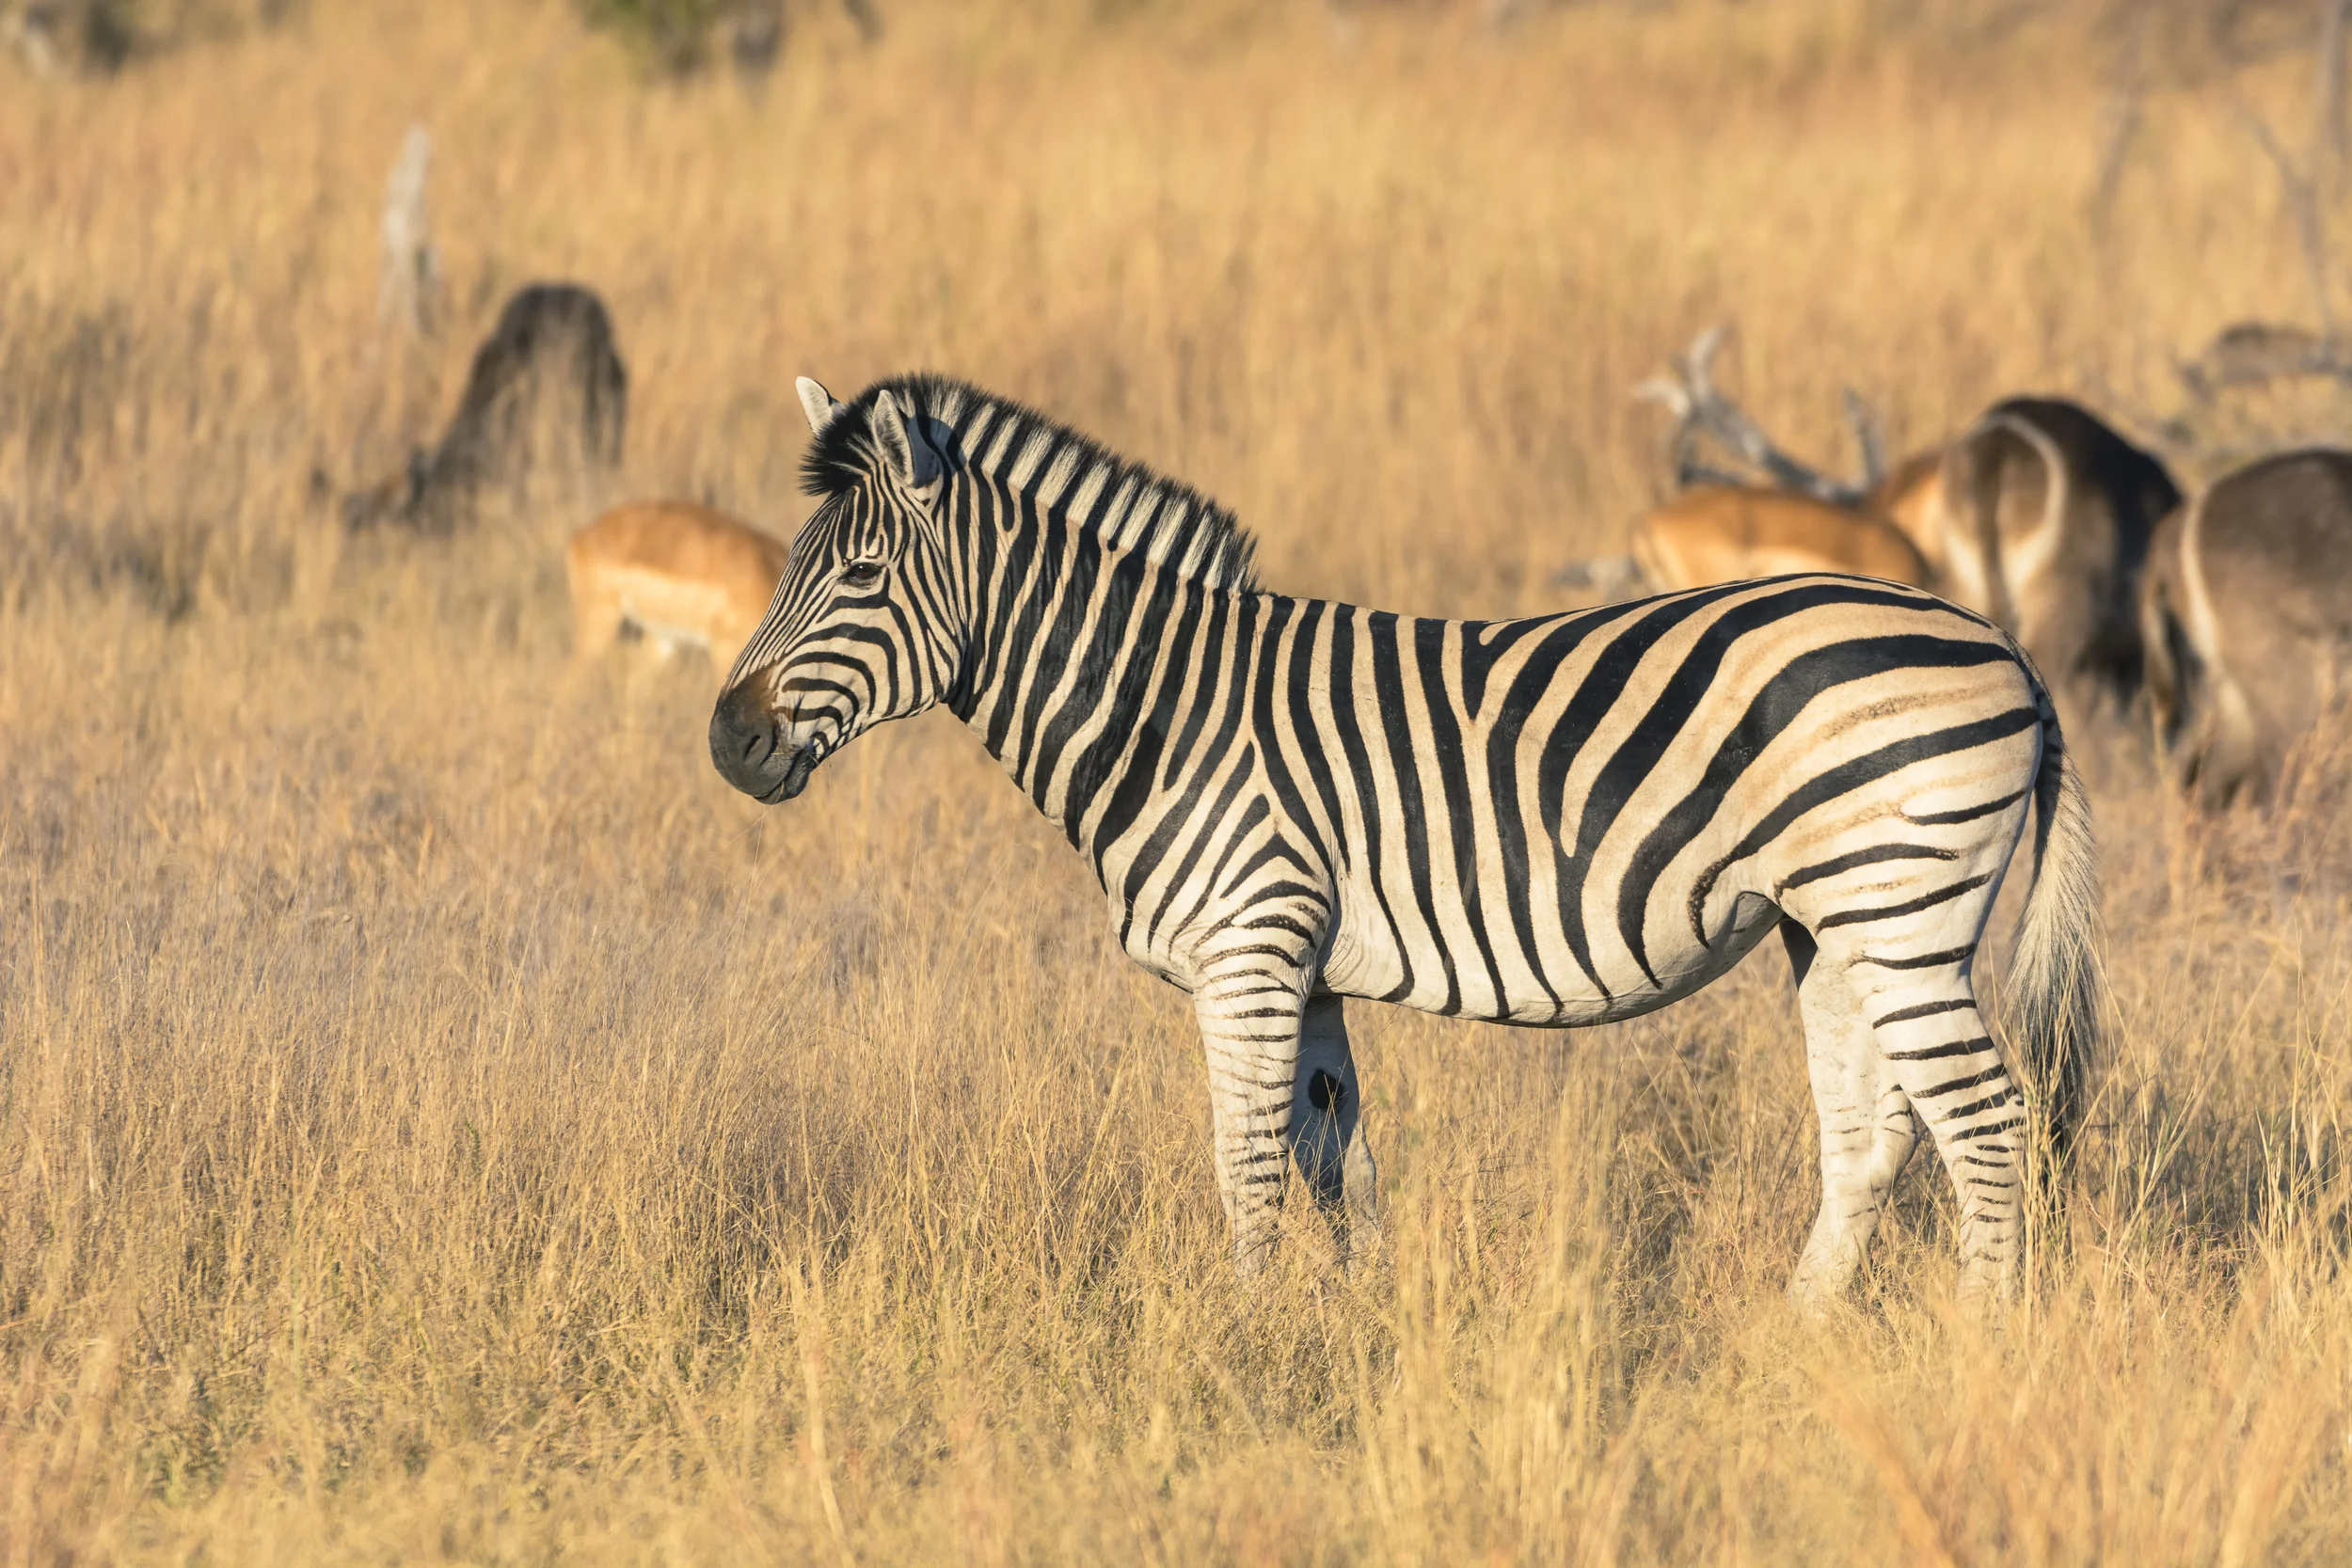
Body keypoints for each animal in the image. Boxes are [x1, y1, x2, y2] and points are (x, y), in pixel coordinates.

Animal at [709, 372, 2101, 1308]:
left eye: (864, 574)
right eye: (793, 563)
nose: (727, 739)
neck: (1164, 703)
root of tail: (2003, 647)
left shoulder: (1249, 950)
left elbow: (1245, 1166)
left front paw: (1244, 1343)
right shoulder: (1306, 970)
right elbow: (1341, 1169)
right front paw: (1366, 1338)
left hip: (1897, 904)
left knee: (1985, 1120)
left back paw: (1981, 1344)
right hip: (1835, 921)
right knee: (1874, 1133)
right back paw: (1789, 1340)